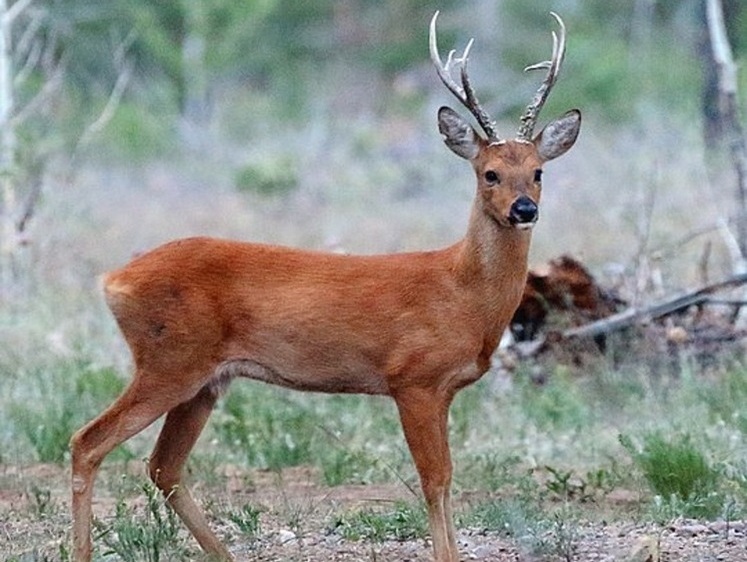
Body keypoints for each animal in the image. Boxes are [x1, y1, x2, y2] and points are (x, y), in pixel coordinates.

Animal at [70, 9, 580, 560]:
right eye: (489, 173)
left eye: (539, 172)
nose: (523, 210)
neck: (462, 293)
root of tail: (113, 280)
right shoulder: (413, 379)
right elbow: (436, 480)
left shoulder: (440, 390)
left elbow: (445, 480)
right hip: (169, 360)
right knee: (87, 442)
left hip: (205, 379)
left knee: (164, 466)